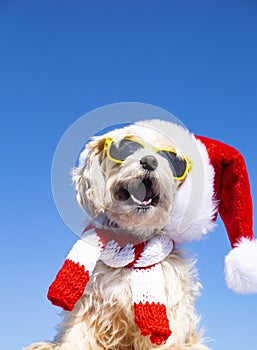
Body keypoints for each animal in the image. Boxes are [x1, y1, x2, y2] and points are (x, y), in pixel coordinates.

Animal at [24, 119, 218, 348]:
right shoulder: (89, 307)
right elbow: (76, 337)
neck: (131, 241)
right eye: (126, 147)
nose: (150, 161)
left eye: (172, 159)